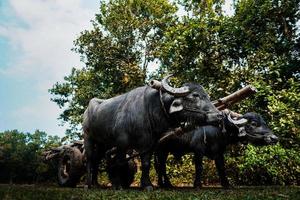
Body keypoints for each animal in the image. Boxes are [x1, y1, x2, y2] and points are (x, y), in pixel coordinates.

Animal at [83, 74, 221, 189]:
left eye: (207, 96)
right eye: (195, 95)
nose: (219, 115)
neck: (149, 109)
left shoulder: (148, 144)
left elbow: (146, 163)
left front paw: (147, 185)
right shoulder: (121, 143)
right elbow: (119, 162)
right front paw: (118, 185)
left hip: (103, 144)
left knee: (96, 159)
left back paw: (96, 184)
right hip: (88, 137)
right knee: (89, 158)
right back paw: (88, 184)